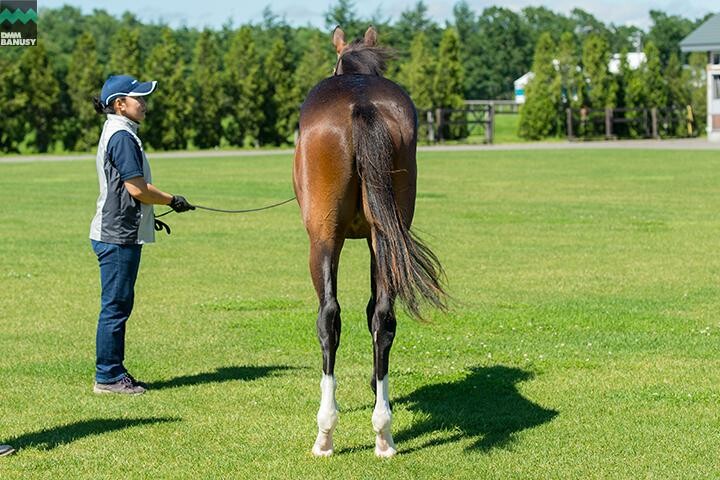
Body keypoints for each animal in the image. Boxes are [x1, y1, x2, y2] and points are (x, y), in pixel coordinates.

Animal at [292, 25, 444, 458]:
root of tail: (361, 104)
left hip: (323, 239)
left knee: (329, 317)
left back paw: (325, 432)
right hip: (386, 236)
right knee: (383, 318)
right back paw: (384, 432)